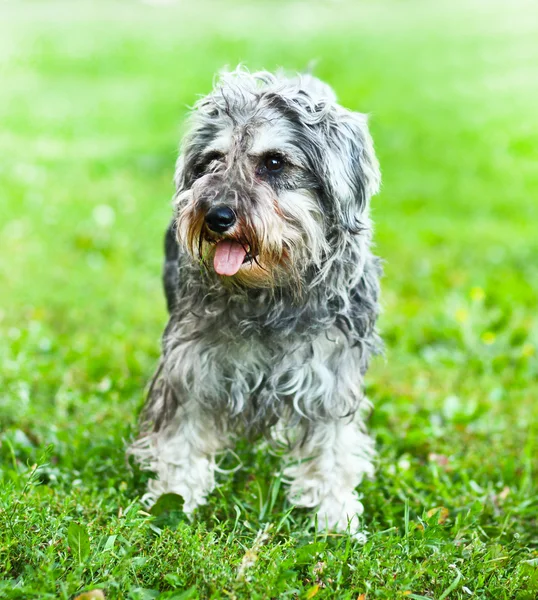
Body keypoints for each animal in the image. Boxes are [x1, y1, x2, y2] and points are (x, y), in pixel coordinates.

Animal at [129, 68, 382, 536]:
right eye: (211, 160)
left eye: (275, 162)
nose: (216, 216)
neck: (268, 294)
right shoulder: (192, 369)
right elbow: (180, 440)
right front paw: (176, 497)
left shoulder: (330, 377)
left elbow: (333, 448)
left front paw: (335, 514)